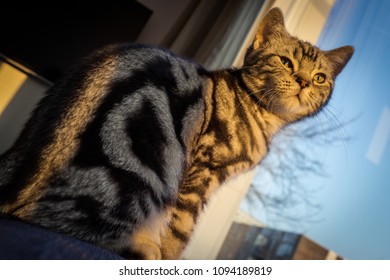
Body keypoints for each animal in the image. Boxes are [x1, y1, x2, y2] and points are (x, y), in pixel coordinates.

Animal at [0, 7, 354, 260]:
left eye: (320, 78)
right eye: (285, 61)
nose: (305, 81)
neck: (263, 117)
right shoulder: (200, 173)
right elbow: (180, 229)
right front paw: (168, 254)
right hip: (146, 170)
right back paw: (141, 247)